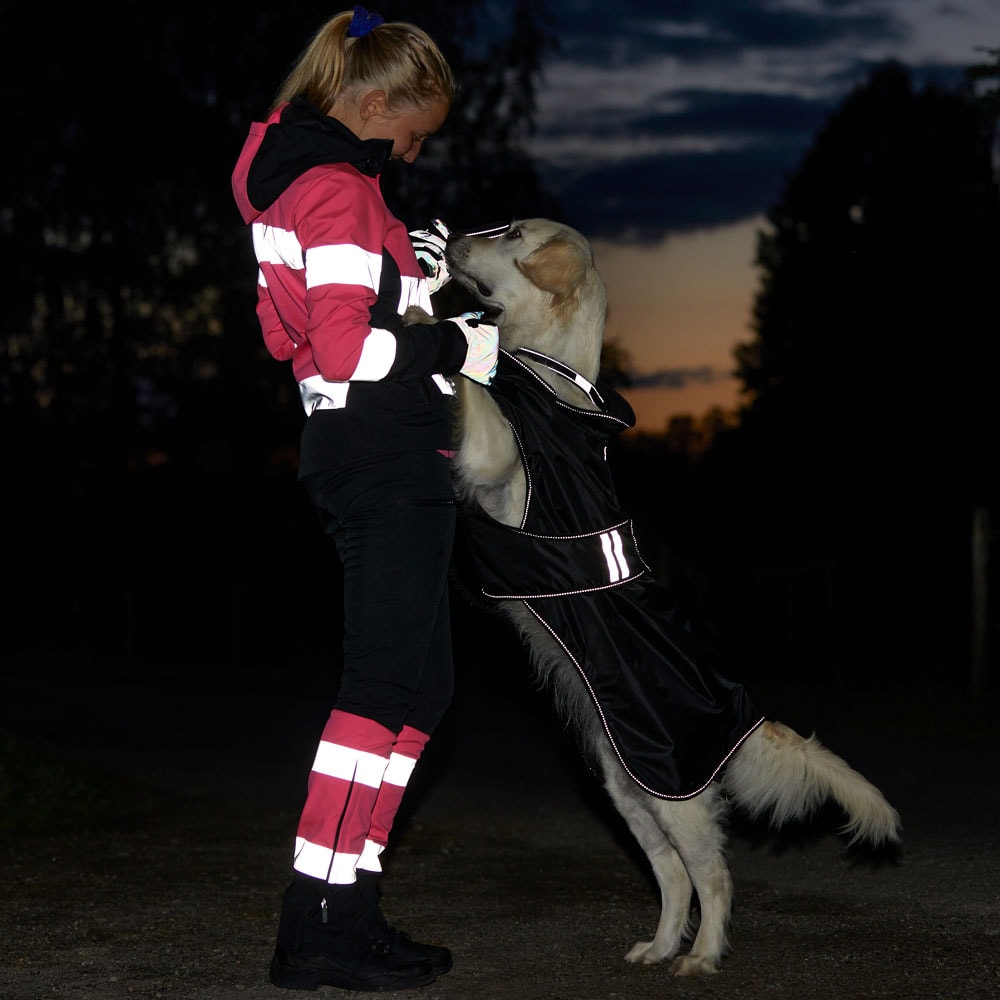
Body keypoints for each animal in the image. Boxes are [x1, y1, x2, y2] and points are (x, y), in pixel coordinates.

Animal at [410, 221, 904, 976]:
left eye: (512, 230)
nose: (458, 237)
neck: (549, 364)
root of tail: (747, 713)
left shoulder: (496, 452)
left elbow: (471, 385)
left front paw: (420, 315)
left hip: (676, 795)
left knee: (713, 875)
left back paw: (700, 957)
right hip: (631, 788)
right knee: (673, 876)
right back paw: (660, 945)